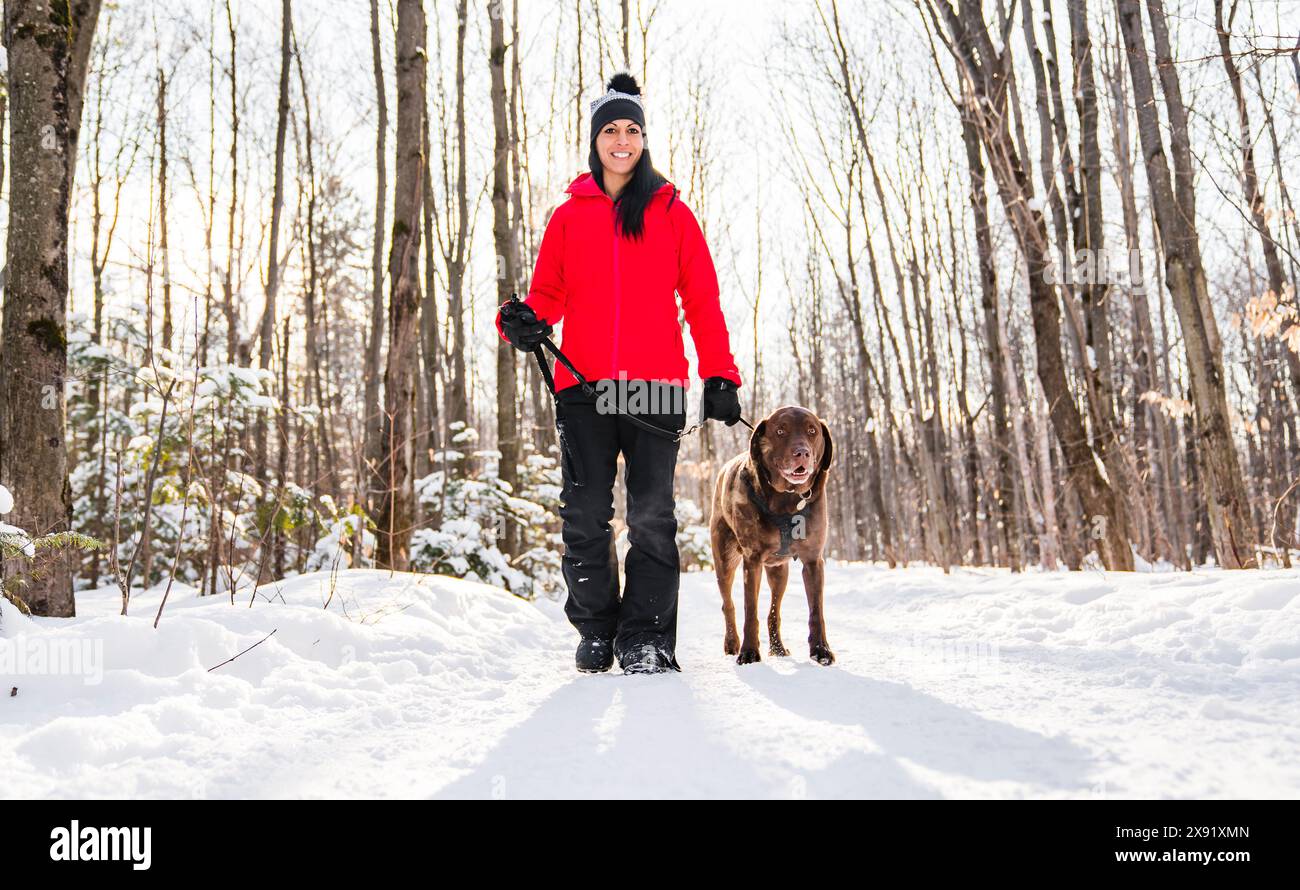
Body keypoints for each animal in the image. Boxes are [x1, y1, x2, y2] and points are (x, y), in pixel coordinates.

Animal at [712, 405, 832, 662]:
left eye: (812, 431)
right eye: (780, 431)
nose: (802, 453)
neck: (787, 498)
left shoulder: (813, 561)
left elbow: (816, 610)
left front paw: (821, 650)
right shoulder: (752, 561)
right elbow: (750, 610)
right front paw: (748, 652)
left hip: (779, 572)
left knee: (774, 610)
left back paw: (777, 647)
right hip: (724, 559)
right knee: (728, 604)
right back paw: (732, 642)